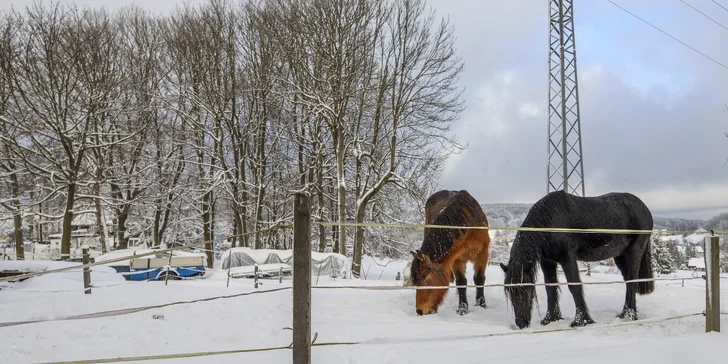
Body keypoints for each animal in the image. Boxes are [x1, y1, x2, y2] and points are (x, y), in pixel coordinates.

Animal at [500, 191, 656, 330]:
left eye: (526, 288)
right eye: (509, 291)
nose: (521, 323)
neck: (549, 222)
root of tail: (644, 208)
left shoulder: (567, 258)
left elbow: (574, 286)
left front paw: (581, 321)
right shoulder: (547, 261)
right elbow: (550, 288)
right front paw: (550, 319)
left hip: (634, 251)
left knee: (633, 281)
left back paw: (628, 315)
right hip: (620, 256)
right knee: (629, 281)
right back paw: (627, 313)